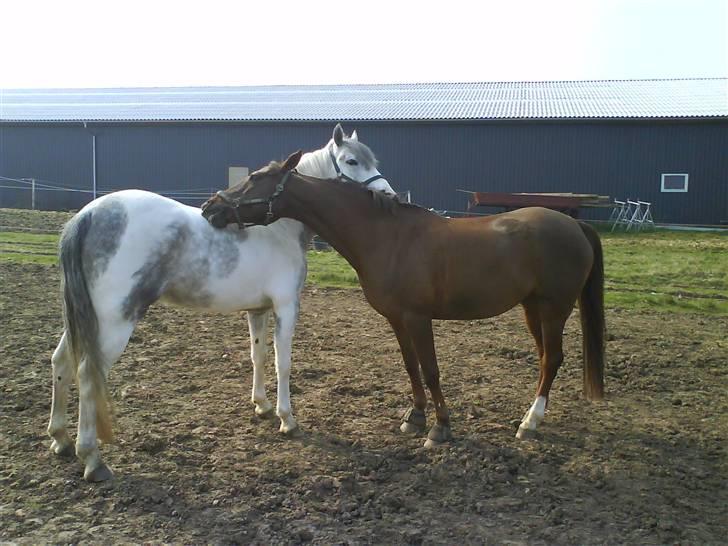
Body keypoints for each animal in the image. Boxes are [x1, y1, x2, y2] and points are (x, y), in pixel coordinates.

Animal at [47, 124, 396, 480]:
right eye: (352, 161)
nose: (388, 195)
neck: (279, 229)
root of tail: (89, 215)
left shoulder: (258, 310)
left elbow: (258, 356)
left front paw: (262, 406)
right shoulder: (286, 307)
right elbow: (283, 362)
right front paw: (287, 419)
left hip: (87, 318)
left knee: (61, 362)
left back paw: (61, 439)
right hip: (114, 321)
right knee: (88, 374)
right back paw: (92, 459)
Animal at [202, 152, 604, 446]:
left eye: (255, 178)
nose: (210, 207)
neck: (387, 237)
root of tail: (574, 224)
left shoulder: (418, 318)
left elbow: (431, 370)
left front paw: (441, 427)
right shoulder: (397, 318)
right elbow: (411, 367)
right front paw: (415, 418)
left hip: (554, 308)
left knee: (552, 359)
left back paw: (530, 422)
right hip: (532, 307)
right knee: (544, 358)